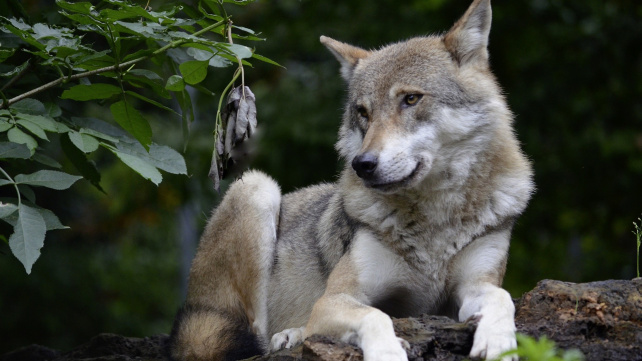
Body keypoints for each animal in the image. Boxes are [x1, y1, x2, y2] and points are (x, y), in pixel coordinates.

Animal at [168, 0, 532, 358]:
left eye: (411, 99)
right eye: (363, 112)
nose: (363, 164)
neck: (434, 220)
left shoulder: (474, 286)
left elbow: (503, 299)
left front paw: (498, 341)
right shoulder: (336, 299)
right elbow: (375, 316)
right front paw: (387, 352)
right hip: (257, 188)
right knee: (257, 336)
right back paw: (290, 334)